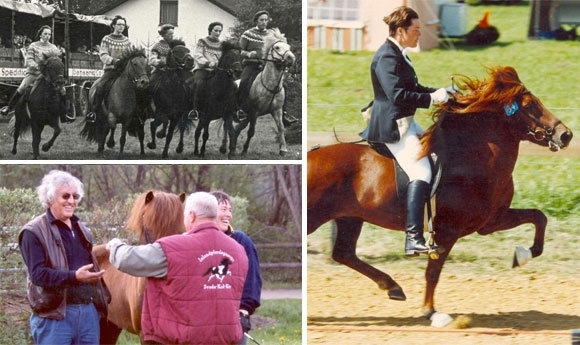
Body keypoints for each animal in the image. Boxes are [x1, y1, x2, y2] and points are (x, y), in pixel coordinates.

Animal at [306, 66, 572, 326]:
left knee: (344, 253)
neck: (472, 160)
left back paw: (393, 287)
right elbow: (433, 272)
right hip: (317, 217)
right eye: (529, 106)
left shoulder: (492, 221)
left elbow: (539, 218)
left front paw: (522, 256)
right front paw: (431, 312)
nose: (565, 135)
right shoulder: (448, 231)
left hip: (350, 218)